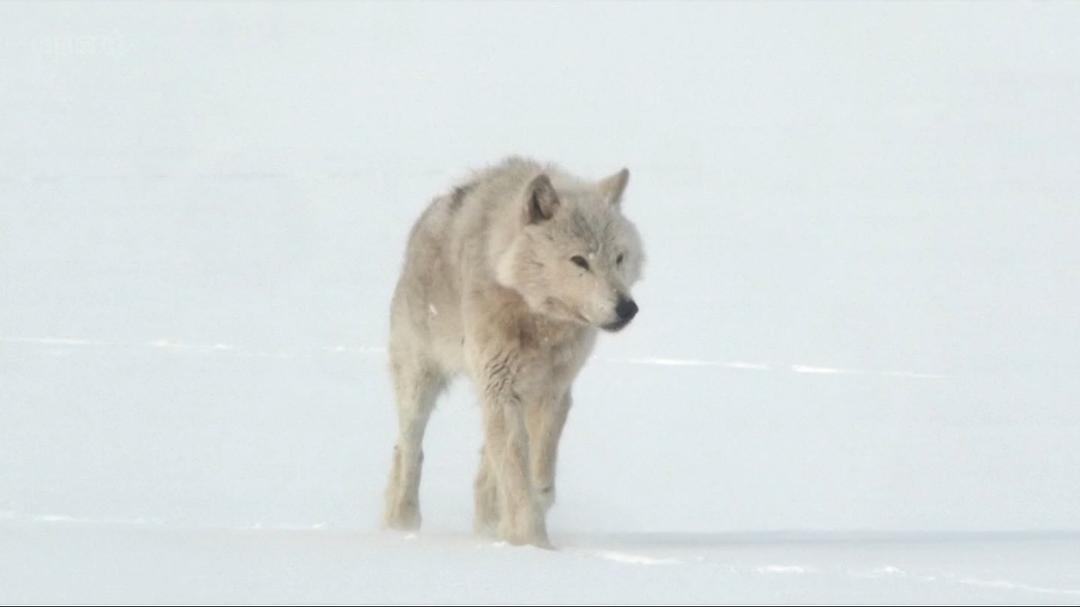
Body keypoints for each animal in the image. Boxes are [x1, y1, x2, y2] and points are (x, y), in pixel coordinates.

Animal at [382, 156, 644, 548]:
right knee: (408, 449)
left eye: (619, 258)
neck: (536, 319)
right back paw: (402, 524)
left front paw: (516, 530)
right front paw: (533, 542)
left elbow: (537, 473)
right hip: (419, 383)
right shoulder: (499, 386)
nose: (628, 308)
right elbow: (516, 474)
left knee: (482, 472)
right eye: (579, 260)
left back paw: (487, 529)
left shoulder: (552, 392)